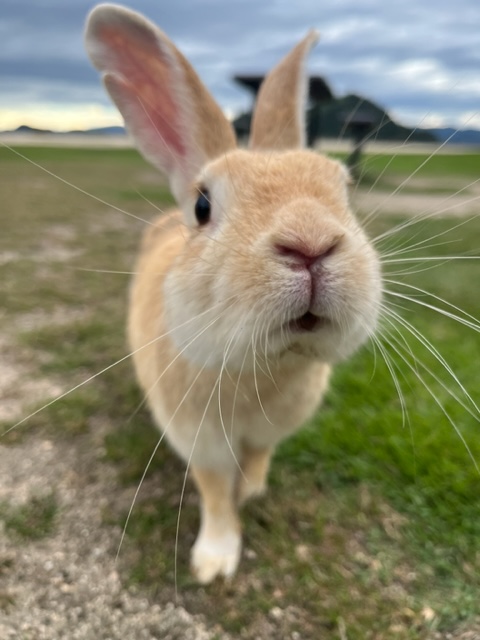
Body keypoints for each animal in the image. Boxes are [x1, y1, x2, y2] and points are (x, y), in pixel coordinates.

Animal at [83, 3, 382, 584]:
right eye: (203, 206)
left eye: (343, 190)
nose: (310, 244)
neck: (266, 367)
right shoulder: (202, 443)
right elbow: (216, 493)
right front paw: (214, 561)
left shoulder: (269, 432)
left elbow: (257, 462)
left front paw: (255, 492)